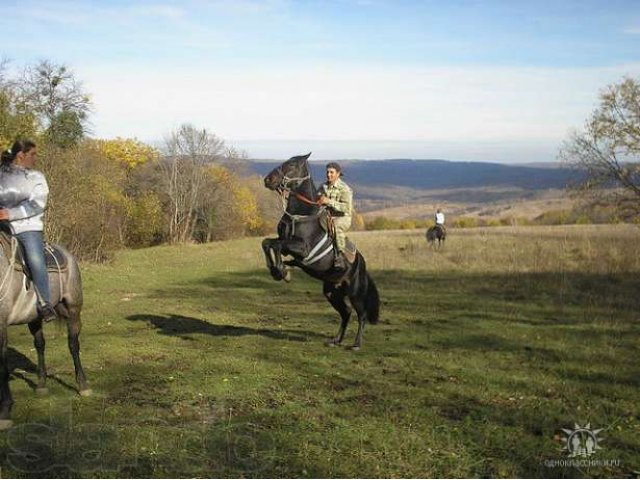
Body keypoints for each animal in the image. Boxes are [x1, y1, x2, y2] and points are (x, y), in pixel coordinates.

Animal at [0, 227, 91, 430]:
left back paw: (83, 385)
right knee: (40, 344)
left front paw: (5, 411)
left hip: (73, 309)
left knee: (73, 345)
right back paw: (41, 385)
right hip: (34, 317)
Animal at [262, 156, 380, 350]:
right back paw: (335, 340)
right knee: (346, 313)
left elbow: (276, 245)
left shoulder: (302, 249)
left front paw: (280, 271)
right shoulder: (287, 246)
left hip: (355, 293)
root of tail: (362, 264)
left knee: (361, 314)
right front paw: (281, 271)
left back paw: (356, 344)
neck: (300, 214)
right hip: (332, 292)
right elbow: (268, 243)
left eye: (291, 165)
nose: (268, 180)